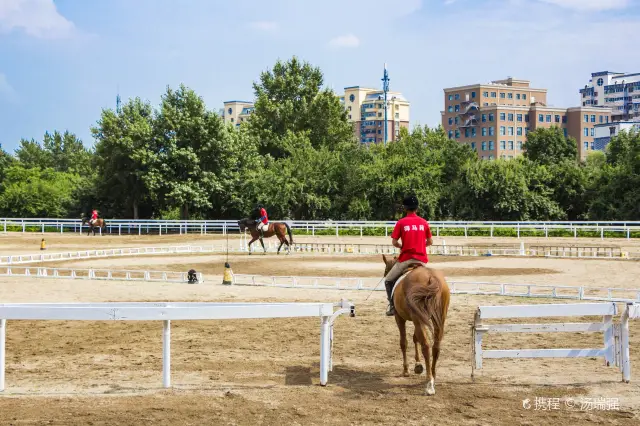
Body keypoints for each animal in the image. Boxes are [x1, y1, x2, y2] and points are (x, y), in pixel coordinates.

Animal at [382, 254, 450, 396]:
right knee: (436, 346)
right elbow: (415, 338)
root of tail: (430, 276)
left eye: (386, 270)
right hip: (438, 319)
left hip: (417, 318)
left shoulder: (400, 318)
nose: (385, 275)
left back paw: (429, 383)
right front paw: (418, 365)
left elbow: (404, 342)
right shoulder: (418, 318)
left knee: (426, 345)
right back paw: (433, 376)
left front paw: (406, 370)